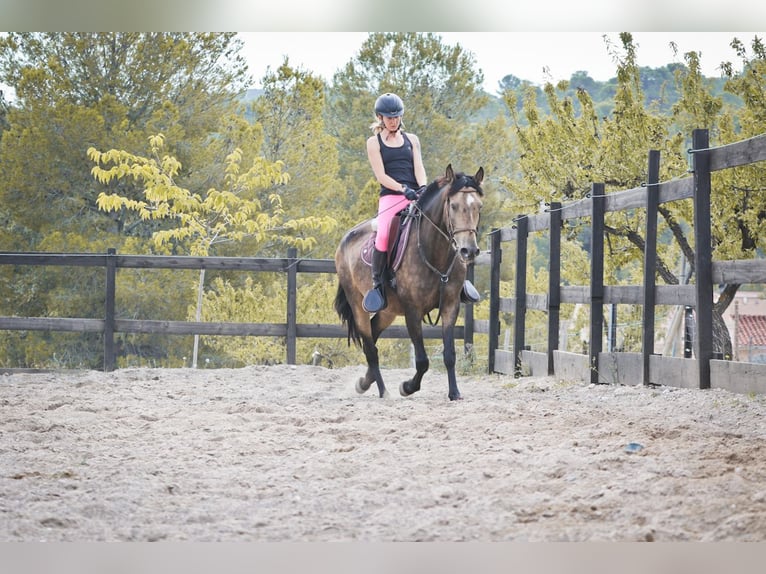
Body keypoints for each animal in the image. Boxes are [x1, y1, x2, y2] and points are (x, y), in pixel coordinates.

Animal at [334, 164, 486, 402]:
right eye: (453, 206)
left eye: (478, 206)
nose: (468, 250)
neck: (435, 253)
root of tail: (345, 239)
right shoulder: (413, 310)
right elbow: (422, 361)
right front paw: (407, 387)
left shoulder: (450, 305)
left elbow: (449, 354)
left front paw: (454, 392)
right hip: (358, 305)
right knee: (370, 347)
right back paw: (383, 391)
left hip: (388, 311)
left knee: (373, 335)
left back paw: (364, 382)